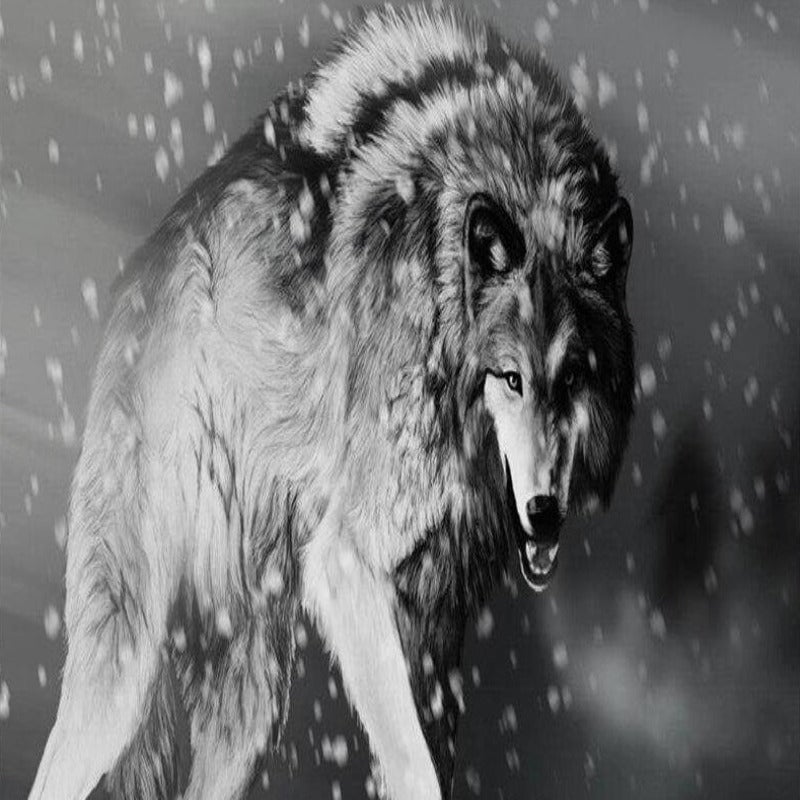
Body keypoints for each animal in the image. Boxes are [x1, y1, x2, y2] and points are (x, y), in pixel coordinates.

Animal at [29, 5, 634, 800]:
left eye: (571, 379)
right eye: (511, 378)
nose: (544, 513)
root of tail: (139, 271)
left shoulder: (436, 621)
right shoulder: (347, 563)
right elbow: (411, 764)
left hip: (253, 699)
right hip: (124, 664)